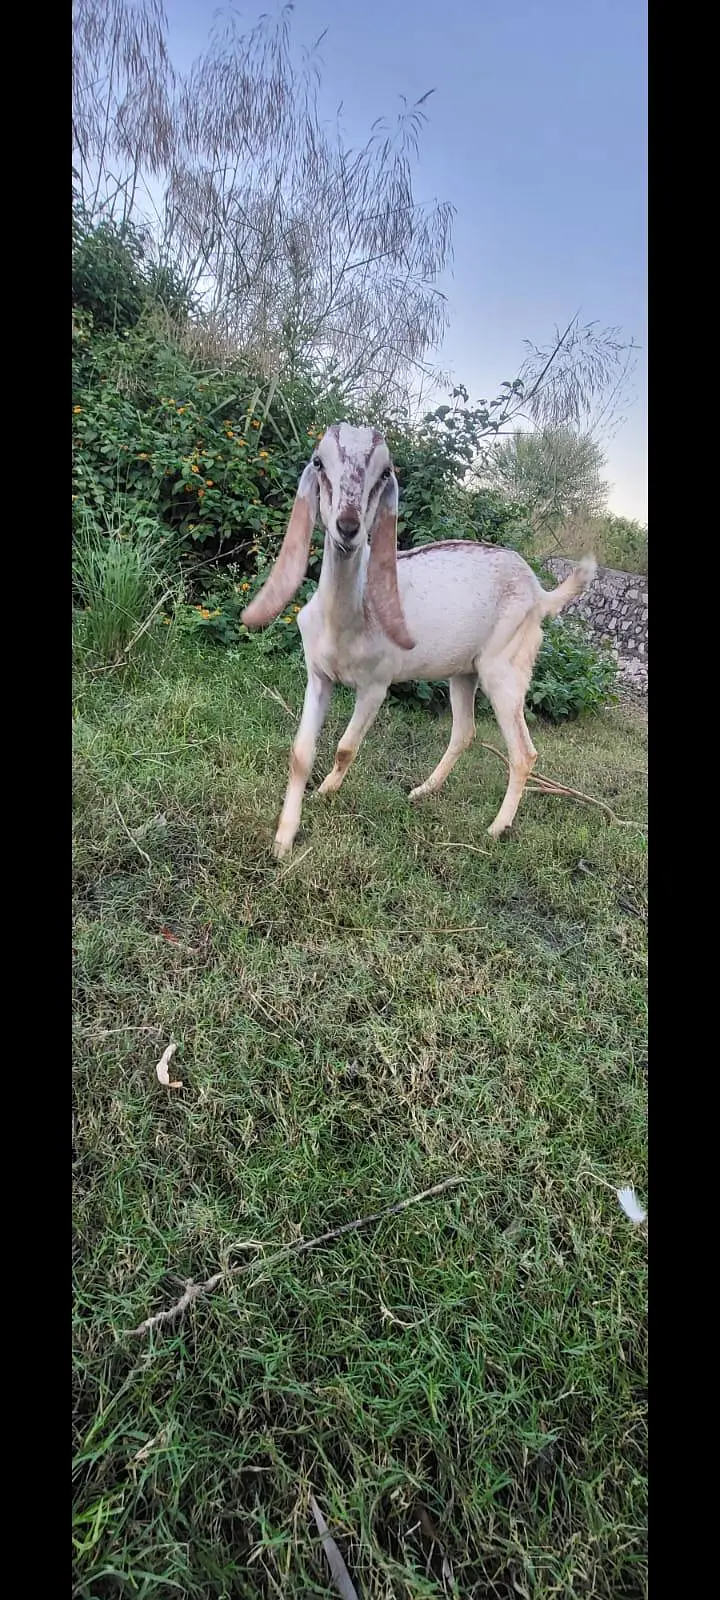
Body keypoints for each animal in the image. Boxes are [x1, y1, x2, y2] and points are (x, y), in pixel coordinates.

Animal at [242, 423, 596, 859]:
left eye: (384, 473)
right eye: (319, 462)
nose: (348, 527)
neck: (348, 619)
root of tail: (539, 591)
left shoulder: (376, 686)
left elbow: (345, 747)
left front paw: (326, 792)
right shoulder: (318, 676)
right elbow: (300, 755)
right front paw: (283, 839)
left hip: (505, 670)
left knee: (523, 752)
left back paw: (497, 828)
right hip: (464, 673)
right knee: (464, 732)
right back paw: (422, 791)